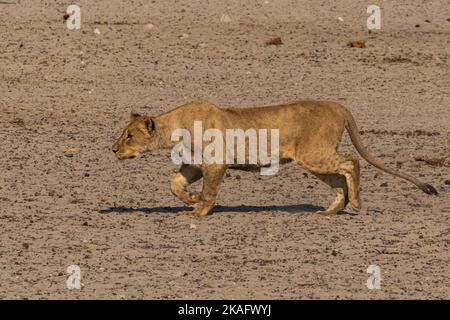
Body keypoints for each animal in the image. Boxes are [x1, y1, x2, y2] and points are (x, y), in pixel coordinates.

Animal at [110, 99, 438, 216]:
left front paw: (198, 210)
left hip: (315, 154)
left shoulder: (216, 163)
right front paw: (190, 199)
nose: (113, 149)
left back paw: (355, 204)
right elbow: (174, 183)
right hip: (315, 161)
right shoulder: (194, 165)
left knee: (351, 163)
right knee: (338, 181)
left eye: (128, 136)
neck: (175, 127)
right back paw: (331, 211)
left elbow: (210, 191)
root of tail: (337, 106)